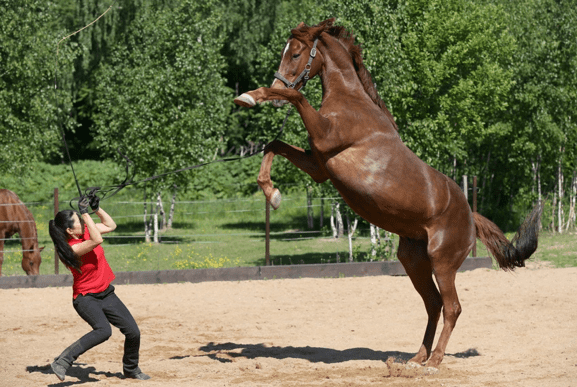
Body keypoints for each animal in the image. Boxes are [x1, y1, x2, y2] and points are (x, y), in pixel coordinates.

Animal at [234, 19, 540, 370]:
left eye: (296, 53)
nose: (276, 86)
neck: (350, 101)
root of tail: (470, 216)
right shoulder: (319, 165)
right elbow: (273, 144)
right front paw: (272, 193)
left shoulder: (325, 139)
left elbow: (295, 98)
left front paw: (249, 97)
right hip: (413, 261)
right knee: (434, 304)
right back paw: (416, 357)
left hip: (442, 262)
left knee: (452, 307)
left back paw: (435, 361)